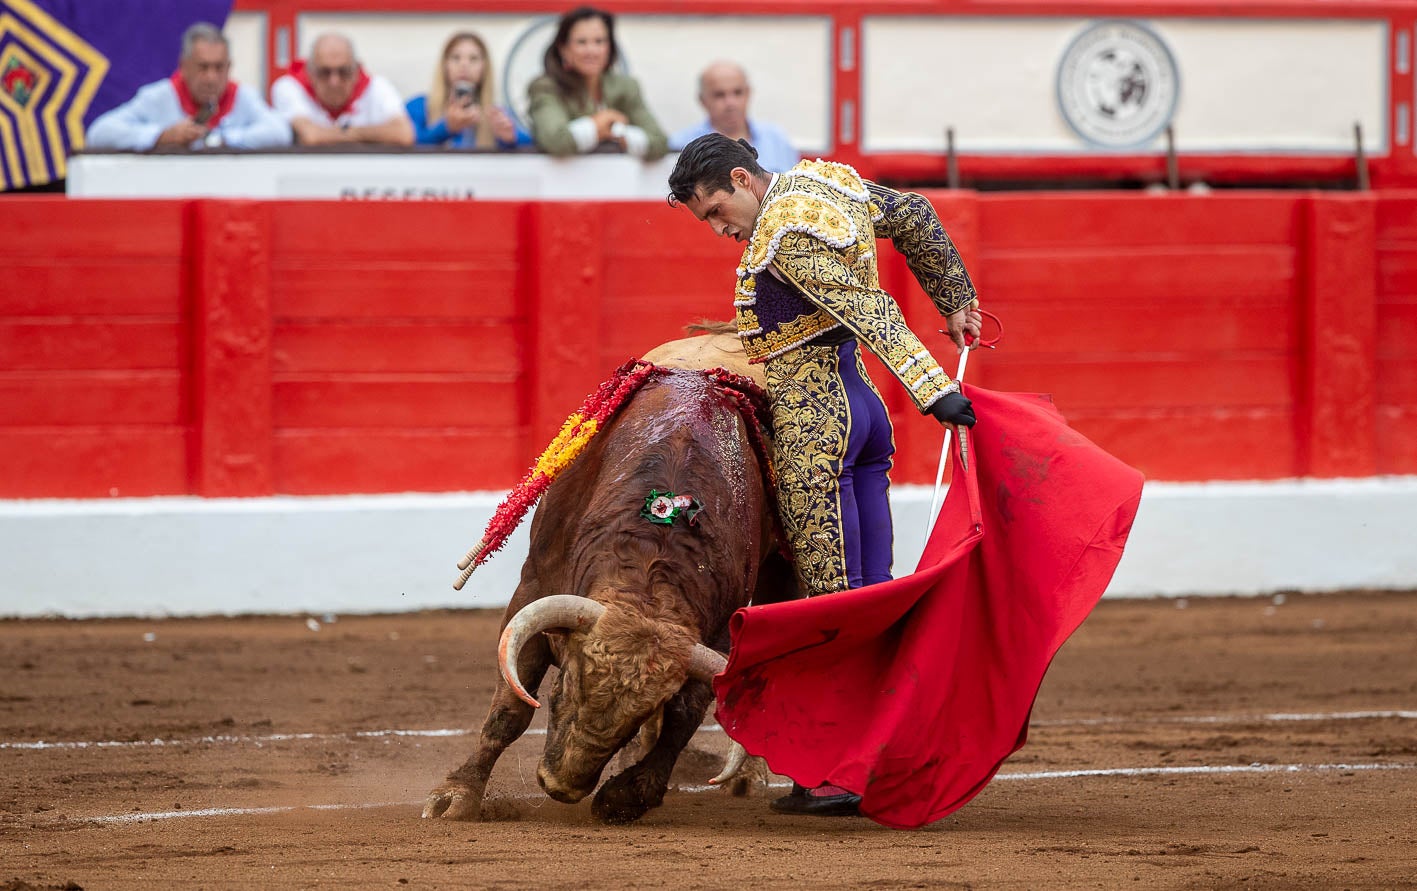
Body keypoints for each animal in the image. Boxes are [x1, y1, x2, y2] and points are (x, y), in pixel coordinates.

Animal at [419, 334, 799, 827]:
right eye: (564, 687)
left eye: (639, 713)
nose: (561, 787)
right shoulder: (535, 588)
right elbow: (510, 707)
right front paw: (457, 796)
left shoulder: (713, 632)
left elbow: (683, 716)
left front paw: (627, 795)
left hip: (781, 571)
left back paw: (747, 777)